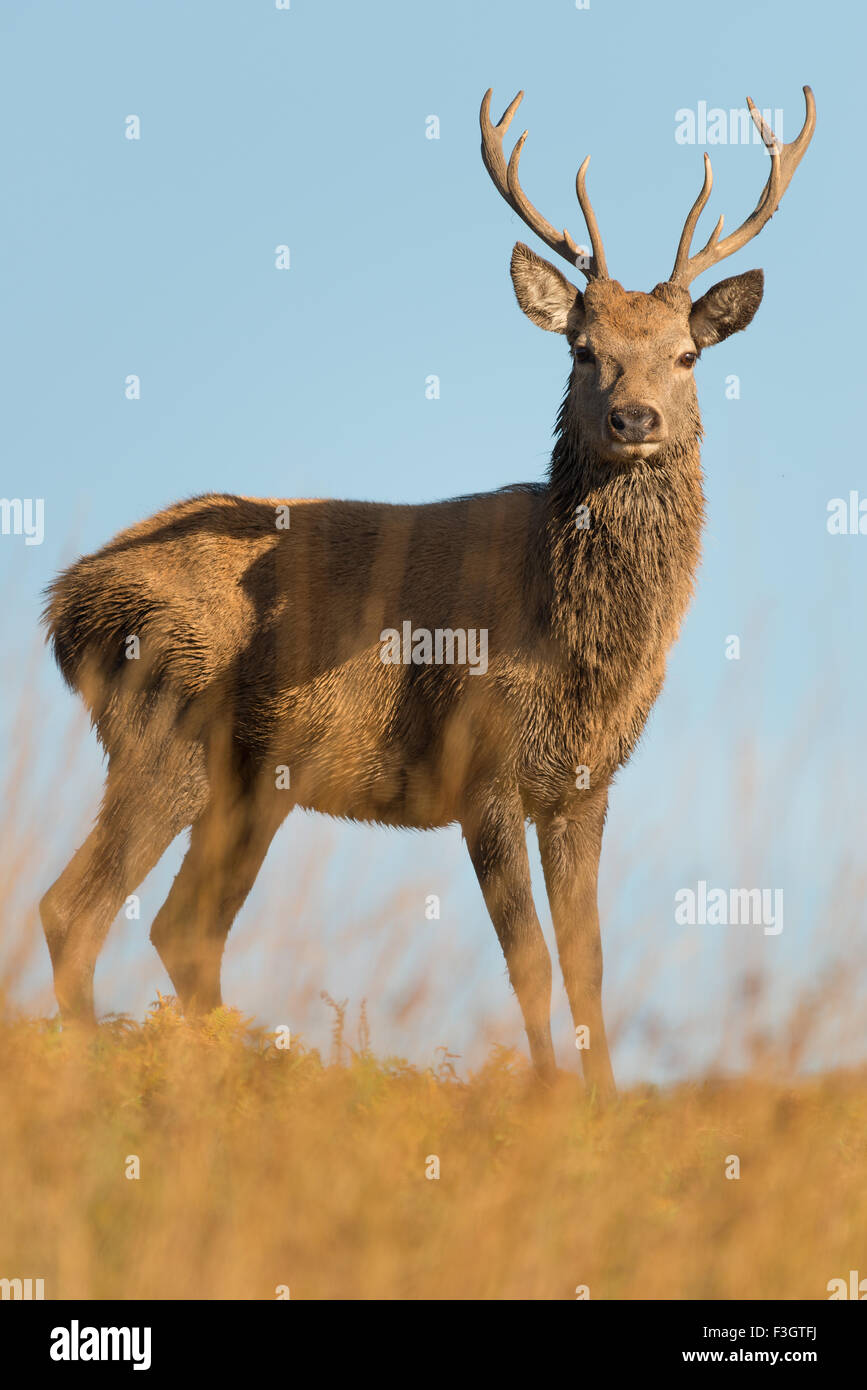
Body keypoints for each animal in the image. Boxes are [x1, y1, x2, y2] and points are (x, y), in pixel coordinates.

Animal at [38, 84, 811, 1095]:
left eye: (686, 354)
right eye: (581, 348)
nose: (633, 417)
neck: (572, 644)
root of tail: (63, 603)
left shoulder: (584, 785)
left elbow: (588, 961)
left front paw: (602, 1103)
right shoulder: (479, 763)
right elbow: (528, 962)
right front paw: (547, 1097)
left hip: (254, 783)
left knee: (182, 929)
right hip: (164, 723)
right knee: (74, 911)